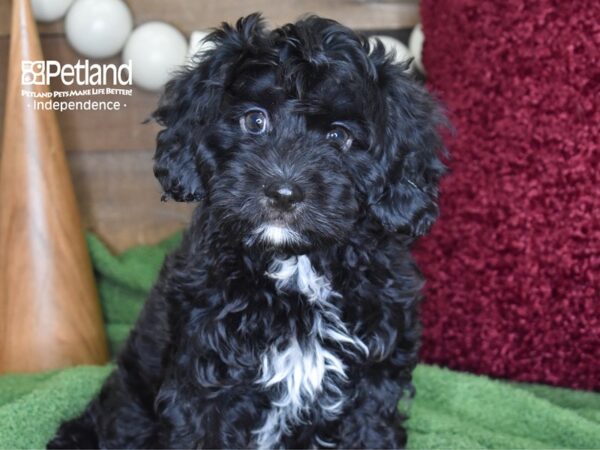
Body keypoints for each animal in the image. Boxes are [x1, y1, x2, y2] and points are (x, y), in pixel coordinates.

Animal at [49, 14, 446, 450]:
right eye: (255, 120)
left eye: (339, 136)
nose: (283, 193)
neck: (295, 267)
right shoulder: (204, 375)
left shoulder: (372, 379)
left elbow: (368, 430)